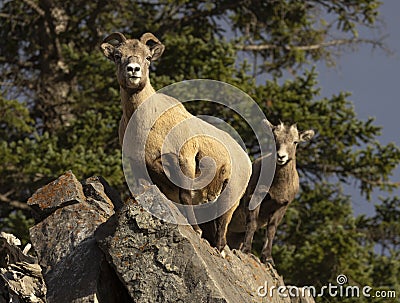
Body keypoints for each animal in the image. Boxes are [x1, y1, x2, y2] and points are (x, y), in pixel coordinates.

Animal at [100, 32, 250, 252]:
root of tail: (247, 160)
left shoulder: (184, 162)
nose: (133, 70)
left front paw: (195, 231)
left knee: (222, 227)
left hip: (230, 198)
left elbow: (185, 197)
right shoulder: (139, 166)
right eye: (118, 55)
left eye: (148, 57)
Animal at [227, 120, 314, 264]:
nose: (281, 156)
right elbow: (252, 223)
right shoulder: (254, 198)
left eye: (295, 141)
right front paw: (246, 250)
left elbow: (271, 230)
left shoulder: (281, 207)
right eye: (275, 138)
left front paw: (267, 259)